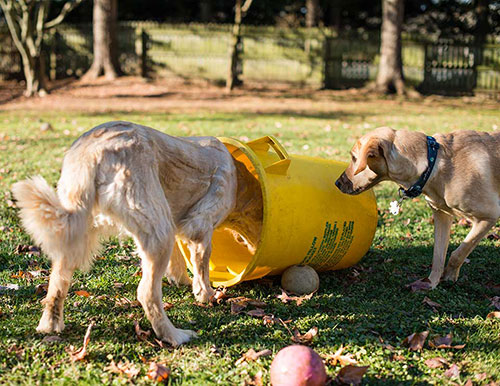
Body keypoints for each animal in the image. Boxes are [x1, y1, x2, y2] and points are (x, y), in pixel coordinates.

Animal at [11, 121, 262, 346]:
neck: (239, 177)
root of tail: (91, 151)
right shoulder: (200, 226)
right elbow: (202, 268)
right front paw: (206, 294)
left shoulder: (177, 223)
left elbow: (179, 262)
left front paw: (182, 281)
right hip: (159, 231)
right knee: (146, 293)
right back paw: (175, 336)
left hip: (81, 234)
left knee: (56, 285)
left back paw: (50, 325)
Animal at [336, 127, 500, 290]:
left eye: (354, 158)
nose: (337, 183)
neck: (433, 162)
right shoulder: (442, 216)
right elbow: (438, 256)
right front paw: (431, 282)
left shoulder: (488, 217)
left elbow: (459, 252)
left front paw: (449, 275)